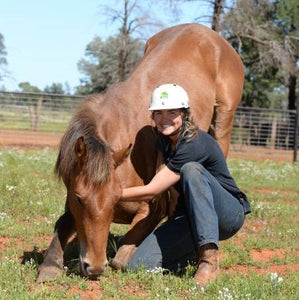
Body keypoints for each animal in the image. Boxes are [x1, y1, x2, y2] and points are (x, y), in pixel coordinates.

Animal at [37, 22, 245, 282]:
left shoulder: (152, 209)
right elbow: (62, 223)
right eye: (78, 197)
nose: (94, 267)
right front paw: (50, 265)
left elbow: (121, 260)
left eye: (115, 198)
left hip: (224, 119)